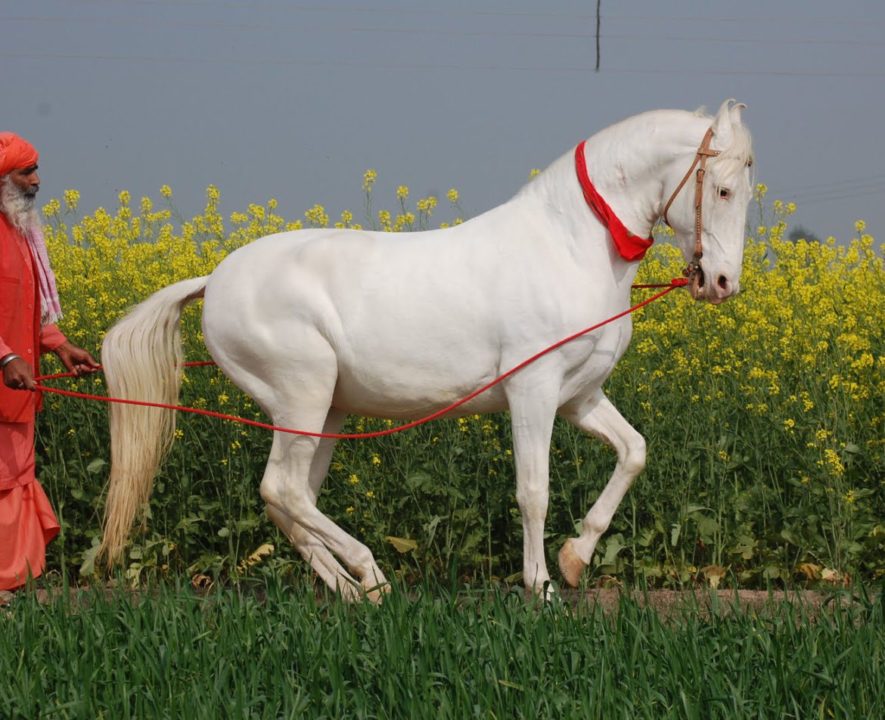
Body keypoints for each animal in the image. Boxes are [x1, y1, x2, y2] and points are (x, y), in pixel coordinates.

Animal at [102, 98, 752, 600]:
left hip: (324, 412)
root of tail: (213, 281)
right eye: (722, 189)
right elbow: (533, 492)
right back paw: (369, 573)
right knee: (281, 491)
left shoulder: (580, 396)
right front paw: (541, 587)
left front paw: (574, 559)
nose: (722, 282)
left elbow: (634, 452)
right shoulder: (533, 390)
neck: (570, 246)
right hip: (301, 396)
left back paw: (352, 590)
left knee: (287, 499)